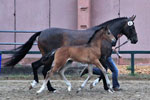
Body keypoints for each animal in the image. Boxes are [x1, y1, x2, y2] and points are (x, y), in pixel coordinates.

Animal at [4, 15, 138, 91]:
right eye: (131, 27)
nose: (135, 40)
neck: (101, 39)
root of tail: (42, 32)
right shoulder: (103, 58)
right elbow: (103, 71)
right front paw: (100, 86)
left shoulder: (102, 58)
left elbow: (104, 71)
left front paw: (106, 86)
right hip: (50, 58)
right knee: (43, 69)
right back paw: (46, 87)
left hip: (49, 57)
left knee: (39, 67)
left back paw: (43, 86)